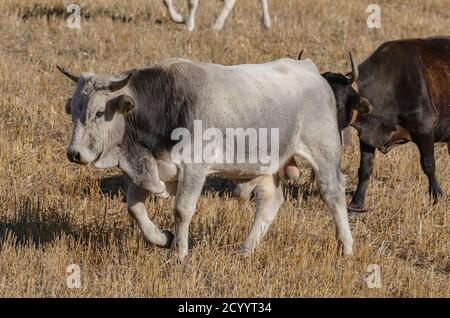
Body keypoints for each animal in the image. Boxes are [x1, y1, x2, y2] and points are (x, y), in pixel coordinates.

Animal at [348, 36, 450, 211]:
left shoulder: (425, 128)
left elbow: (428, 164)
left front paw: (437, 197)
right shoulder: (367, 134)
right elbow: (365, 168)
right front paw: (356, 203)